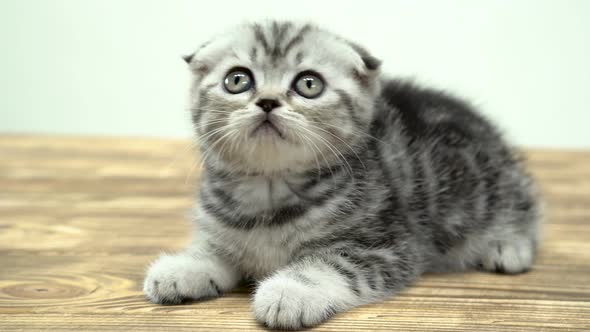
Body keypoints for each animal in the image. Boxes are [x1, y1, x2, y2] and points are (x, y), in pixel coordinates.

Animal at [143, 21, 540, 330]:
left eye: (308, 84)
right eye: (237, 80)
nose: (268, 101)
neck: (268, 191)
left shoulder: (387, 247)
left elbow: (331, 265)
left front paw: (290, 291)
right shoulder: (223, 227)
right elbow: (212, 248)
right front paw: (182, 267)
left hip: (493, 187)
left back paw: (508, 246)